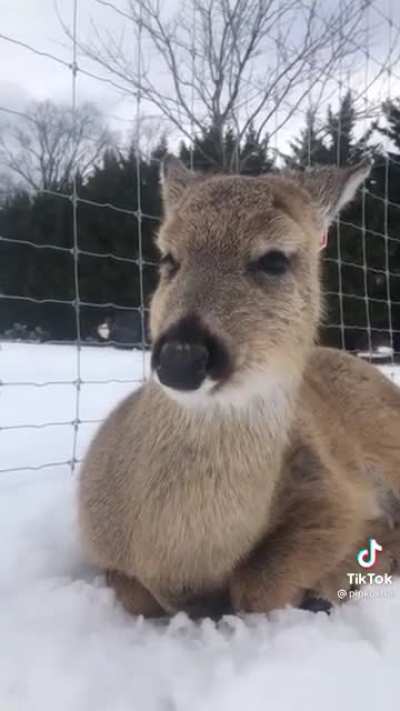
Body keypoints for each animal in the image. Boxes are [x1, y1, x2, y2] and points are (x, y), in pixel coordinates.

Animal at [79, 157, 400, 618]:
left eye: (274, 260)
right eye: (168, 257)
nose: (181, 357)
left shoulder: (338, 491)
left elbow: (258, 589)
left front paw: (326, 584)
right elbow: (138, 596)